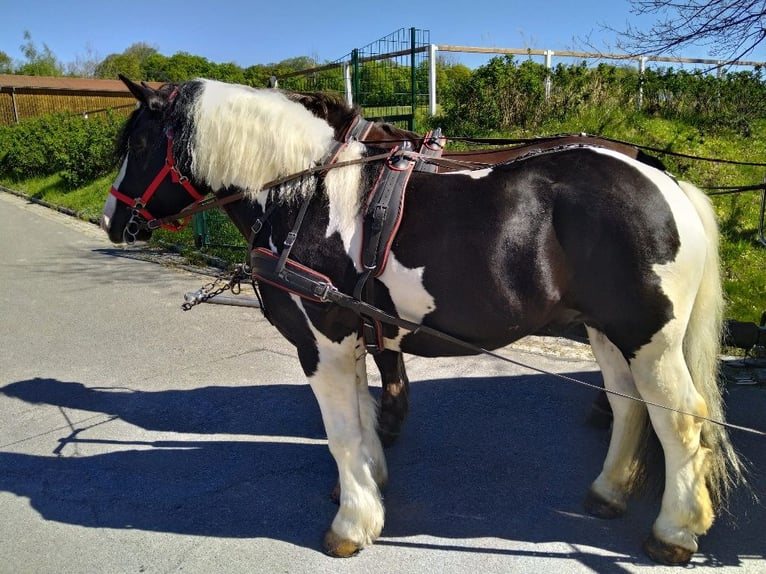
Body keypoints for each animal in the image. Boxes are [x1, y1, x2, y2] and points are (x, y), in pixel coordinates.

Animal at [101, 76, 743, 564]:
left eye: (141, 141)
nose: (112, 219)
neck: (304, 194)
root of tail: (666, 182)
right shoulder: (353, 336)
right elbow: (361, 418)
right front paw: (369, 485)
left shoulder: (322, 342)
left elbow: (341, 430)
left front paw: (350, 525)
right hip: (607, 331)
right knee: (630, 407)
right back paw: (608, 492)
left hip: (648, 338)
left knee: (681, 419)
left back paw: (675, 531)